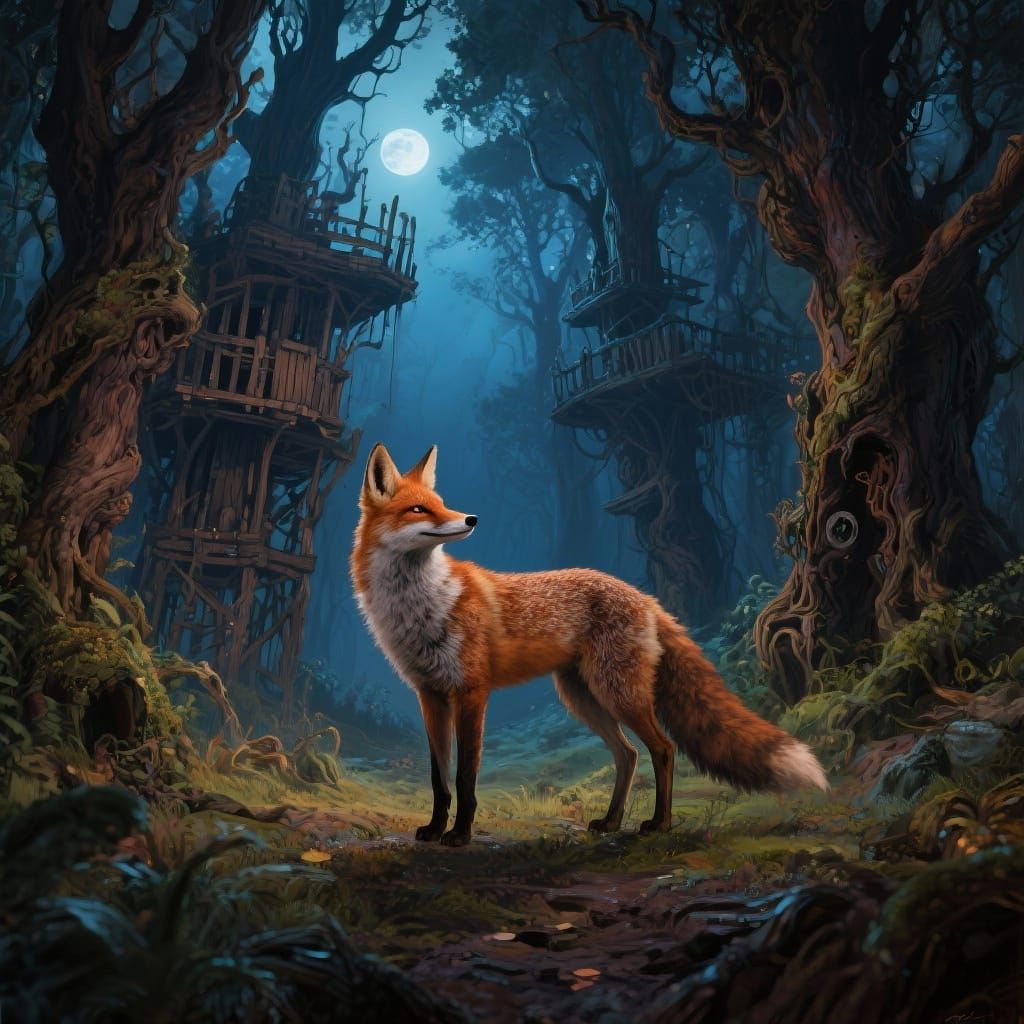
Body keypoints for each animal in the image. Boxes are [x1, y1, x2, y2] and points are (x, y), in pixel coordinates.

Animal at [351, 443, 827, 847]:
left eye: (442, 502)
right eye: (419, 509)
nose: (471, 519)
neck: (421, 608)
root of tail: (645, 597)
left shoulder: (472, 692)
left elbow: (466, 776)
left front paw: (461, 834)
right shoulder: (430, 695)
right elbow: (440, 778)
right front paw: (434, 830)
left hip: (617, 694)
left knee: (663, 748)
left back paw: (659, 824)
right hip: (584, 696)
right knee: (628, 754)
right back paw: (611, 821)